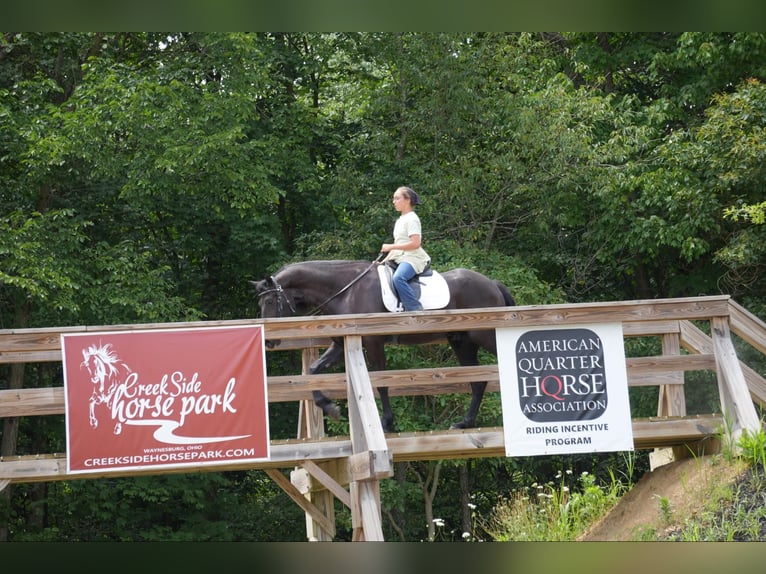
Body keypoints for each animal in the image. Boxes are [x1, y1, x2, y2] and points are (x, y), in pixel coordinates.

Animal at [252, 260, 516, 432]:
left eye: (269, 301)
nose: (269, 341)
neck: (345, 290)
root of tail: (492, 283)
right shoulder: (342, 344)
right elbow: (314, 370)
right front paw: (329, 407)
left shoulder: (373, 342)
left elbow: (381, 383)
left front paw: (387, 423)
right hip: (462, 342)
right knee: (478, 382)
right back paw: (465, 423)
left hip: (486, 336)